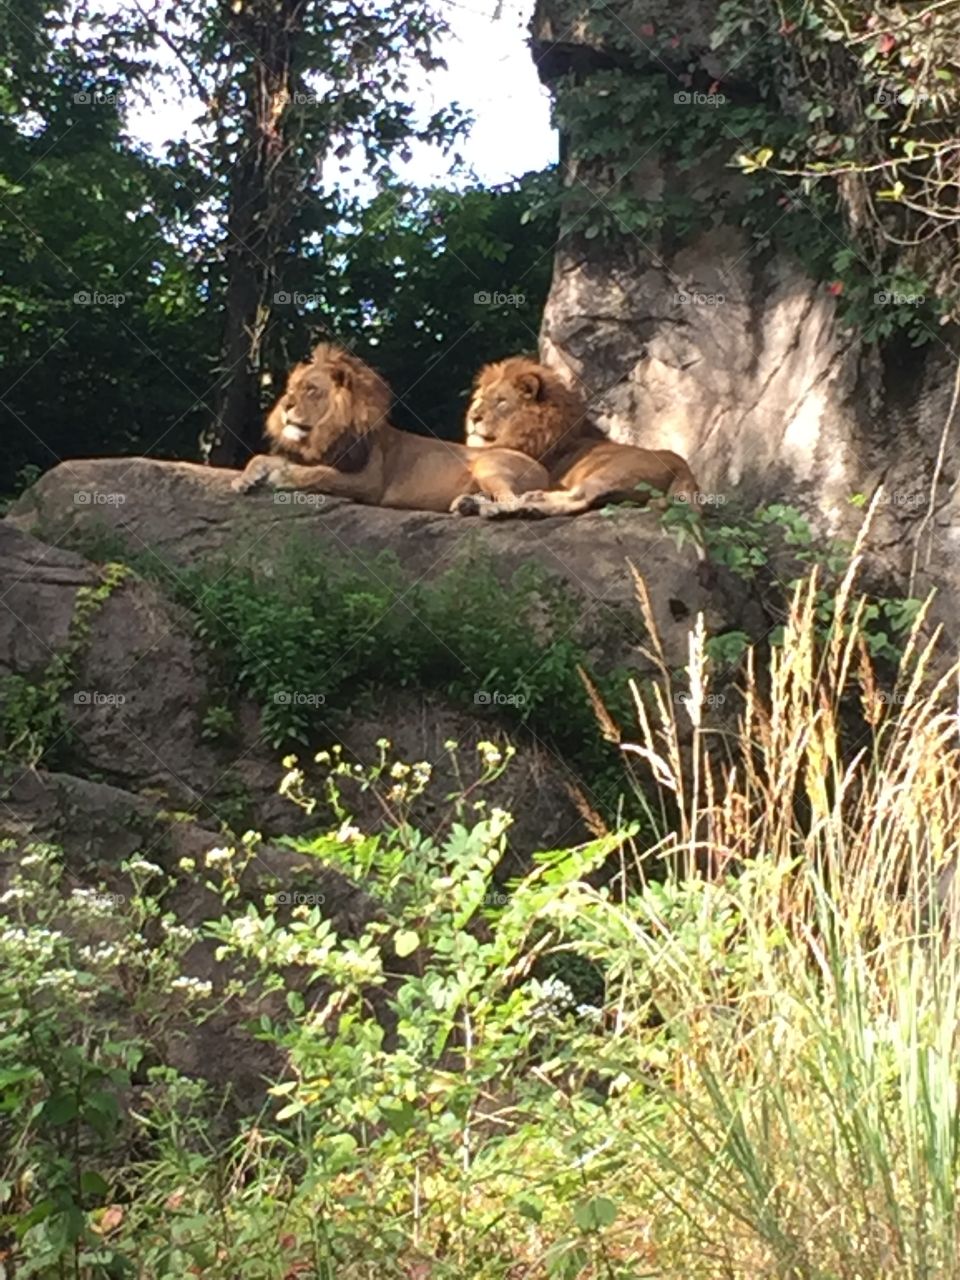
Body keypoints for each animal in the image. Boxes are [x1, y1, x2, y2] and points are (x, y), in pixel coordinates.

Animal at [232, 343, 549, 513]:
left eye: (311, 390)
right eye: (290, 389)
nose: (285, 405)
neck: (320, 436)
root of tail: (546, 472)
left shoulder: (369, 481)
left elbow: (319, 474)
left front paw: (282, 477)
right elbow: (261, 458)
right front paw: (244, 479)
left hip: (486, 464)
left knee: (514, 501)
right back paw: (468, 503)